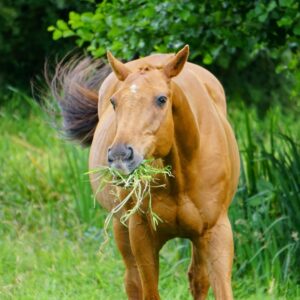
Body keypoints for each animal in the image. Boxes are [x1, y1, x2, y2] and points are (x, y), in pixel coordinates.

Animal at [50, 45, 240, 300]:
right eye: (114, 102)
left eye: (161, 99)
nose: (120, 155)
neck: (181, 178)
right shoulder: (142, 235)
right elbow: (148, 290)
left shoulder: (216, 232)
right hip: (121, 228)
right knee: (132, 282)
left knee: (198, 279)